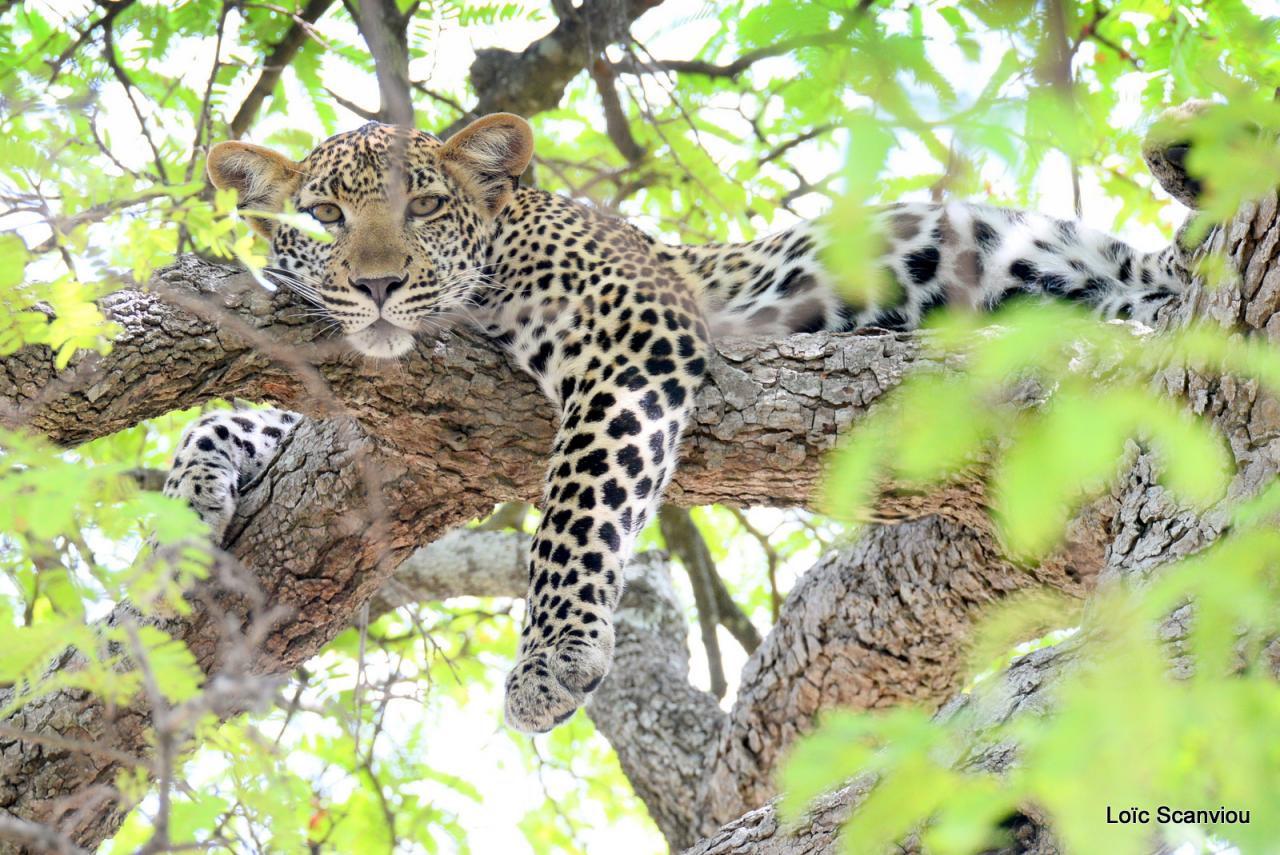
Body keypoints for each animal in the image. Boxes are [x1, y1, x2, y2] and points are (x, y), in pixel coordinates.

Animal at [165, 110, 1192, 732]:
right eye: (323, 216)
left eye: (422, 206)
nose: (378, 284)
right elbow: (237, 416)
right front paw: (181, 507)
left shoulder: (635, 331)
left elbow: (576, 504)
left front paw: (553, 656)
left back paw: (1179, 157)